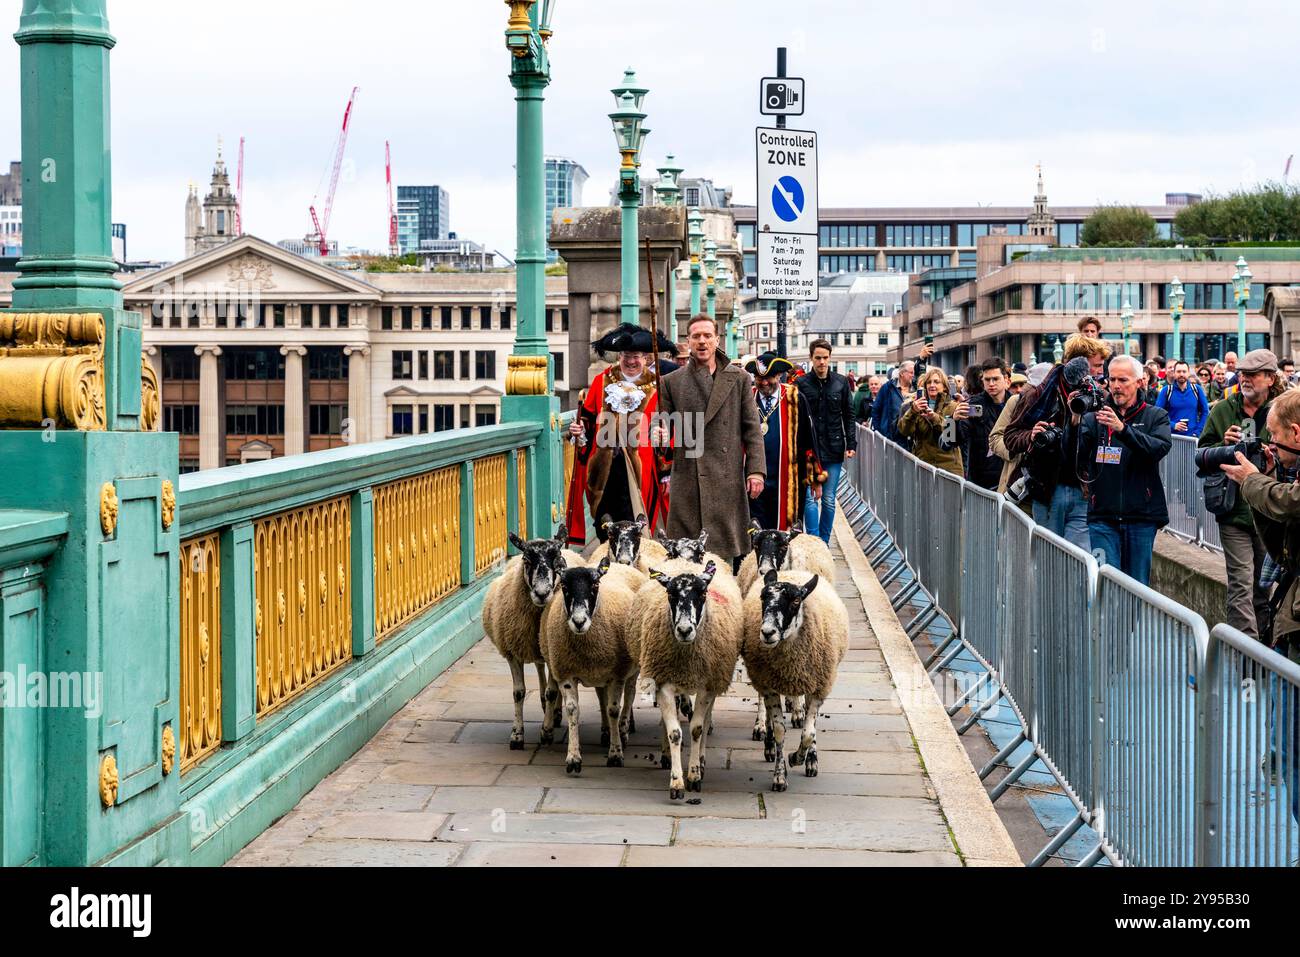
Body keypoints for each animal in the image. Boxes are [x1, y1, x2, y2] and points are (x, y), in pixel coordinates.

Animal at [483, 527, 569, 748]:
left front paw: (546, 732)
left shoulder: (553, 651)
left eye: (557, 560)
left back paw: (554, 713)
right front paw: (516, 735)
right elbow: (518, 693)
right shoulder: (512, 652)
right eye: (526, 560)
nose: (542, 593)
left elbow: (552, 692)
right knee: (539, 667)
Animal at [535, 556, 642, 774]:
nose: (579, 621)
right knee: (601, 698)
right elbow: (572, 710)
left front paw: (615, 754)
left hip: (631, 669)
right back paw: (606, 731)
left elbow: (614, 709)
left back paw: (623, 729)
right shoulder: (566, 672)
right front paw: (573, 758)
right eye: (564, 586)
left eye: (595, 585)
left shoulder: (617, 674)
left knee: (630, 695)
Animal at [743, 572, 852, 790]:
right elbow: (779, 730)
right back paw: (768, 743)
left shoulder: (819, 686)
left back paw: (810, 760)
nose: (767, 633)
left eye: (795, 601)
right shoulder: (768, 685)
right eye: (762, 597)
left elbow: (809, 733)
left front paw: (797, 758)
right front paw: (779, 776)